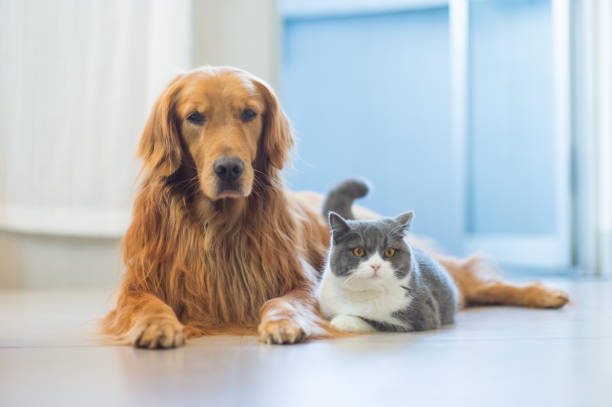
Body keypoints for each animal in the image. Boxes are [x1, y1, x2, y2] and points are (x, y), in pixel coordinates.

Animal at [318, 180, 456, 334]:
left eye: (389, 252)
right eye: (358, 251)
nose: (375, 265)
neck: (366, 294)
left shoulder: (424, 315)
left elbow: (377, 322)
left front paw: (343, 321)